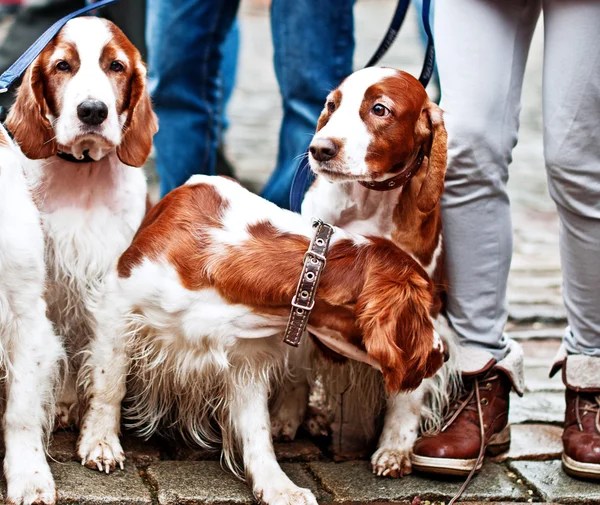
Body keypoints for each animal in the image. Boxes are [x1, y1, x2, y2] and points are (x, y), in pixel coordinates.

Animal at [4, 14, 157, 426]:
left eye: (116, 66)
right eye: (63, 66)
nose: (92, 110)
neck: (83, 173)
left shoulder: (110, 285)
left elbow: (108, 373)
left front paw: (100, 435)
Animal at [76, 175, 446, 504]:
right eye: (425, 310)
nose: (443, 354)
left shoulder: (246, 359)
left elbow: (258, 430)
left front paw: (278, 487)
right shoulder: (117, 304)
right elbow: (110, 385)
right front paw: (100, 441)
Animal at [270, 66, 458, 476]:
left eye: (380, 109)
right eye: (331, 105)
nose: (320, 149)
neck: (368, 203)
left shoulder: (420, 309)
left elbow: (408, 390)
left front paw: (395, 450)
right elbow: (295, 370)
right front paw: (284, 421)